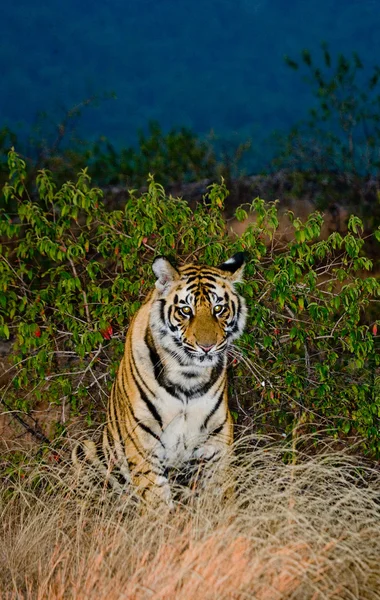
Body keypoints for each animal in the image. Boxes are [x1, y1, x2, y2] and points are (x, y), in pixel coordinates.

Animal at [74, 251, 246, 508]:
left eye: (218, 308)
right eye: (186, 310)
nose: (207, 347)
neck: (188, 375)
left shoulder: (217, 437)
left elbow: (221, 496)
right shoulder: (144, 444)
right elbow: (158, 505)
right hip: (86, 451)